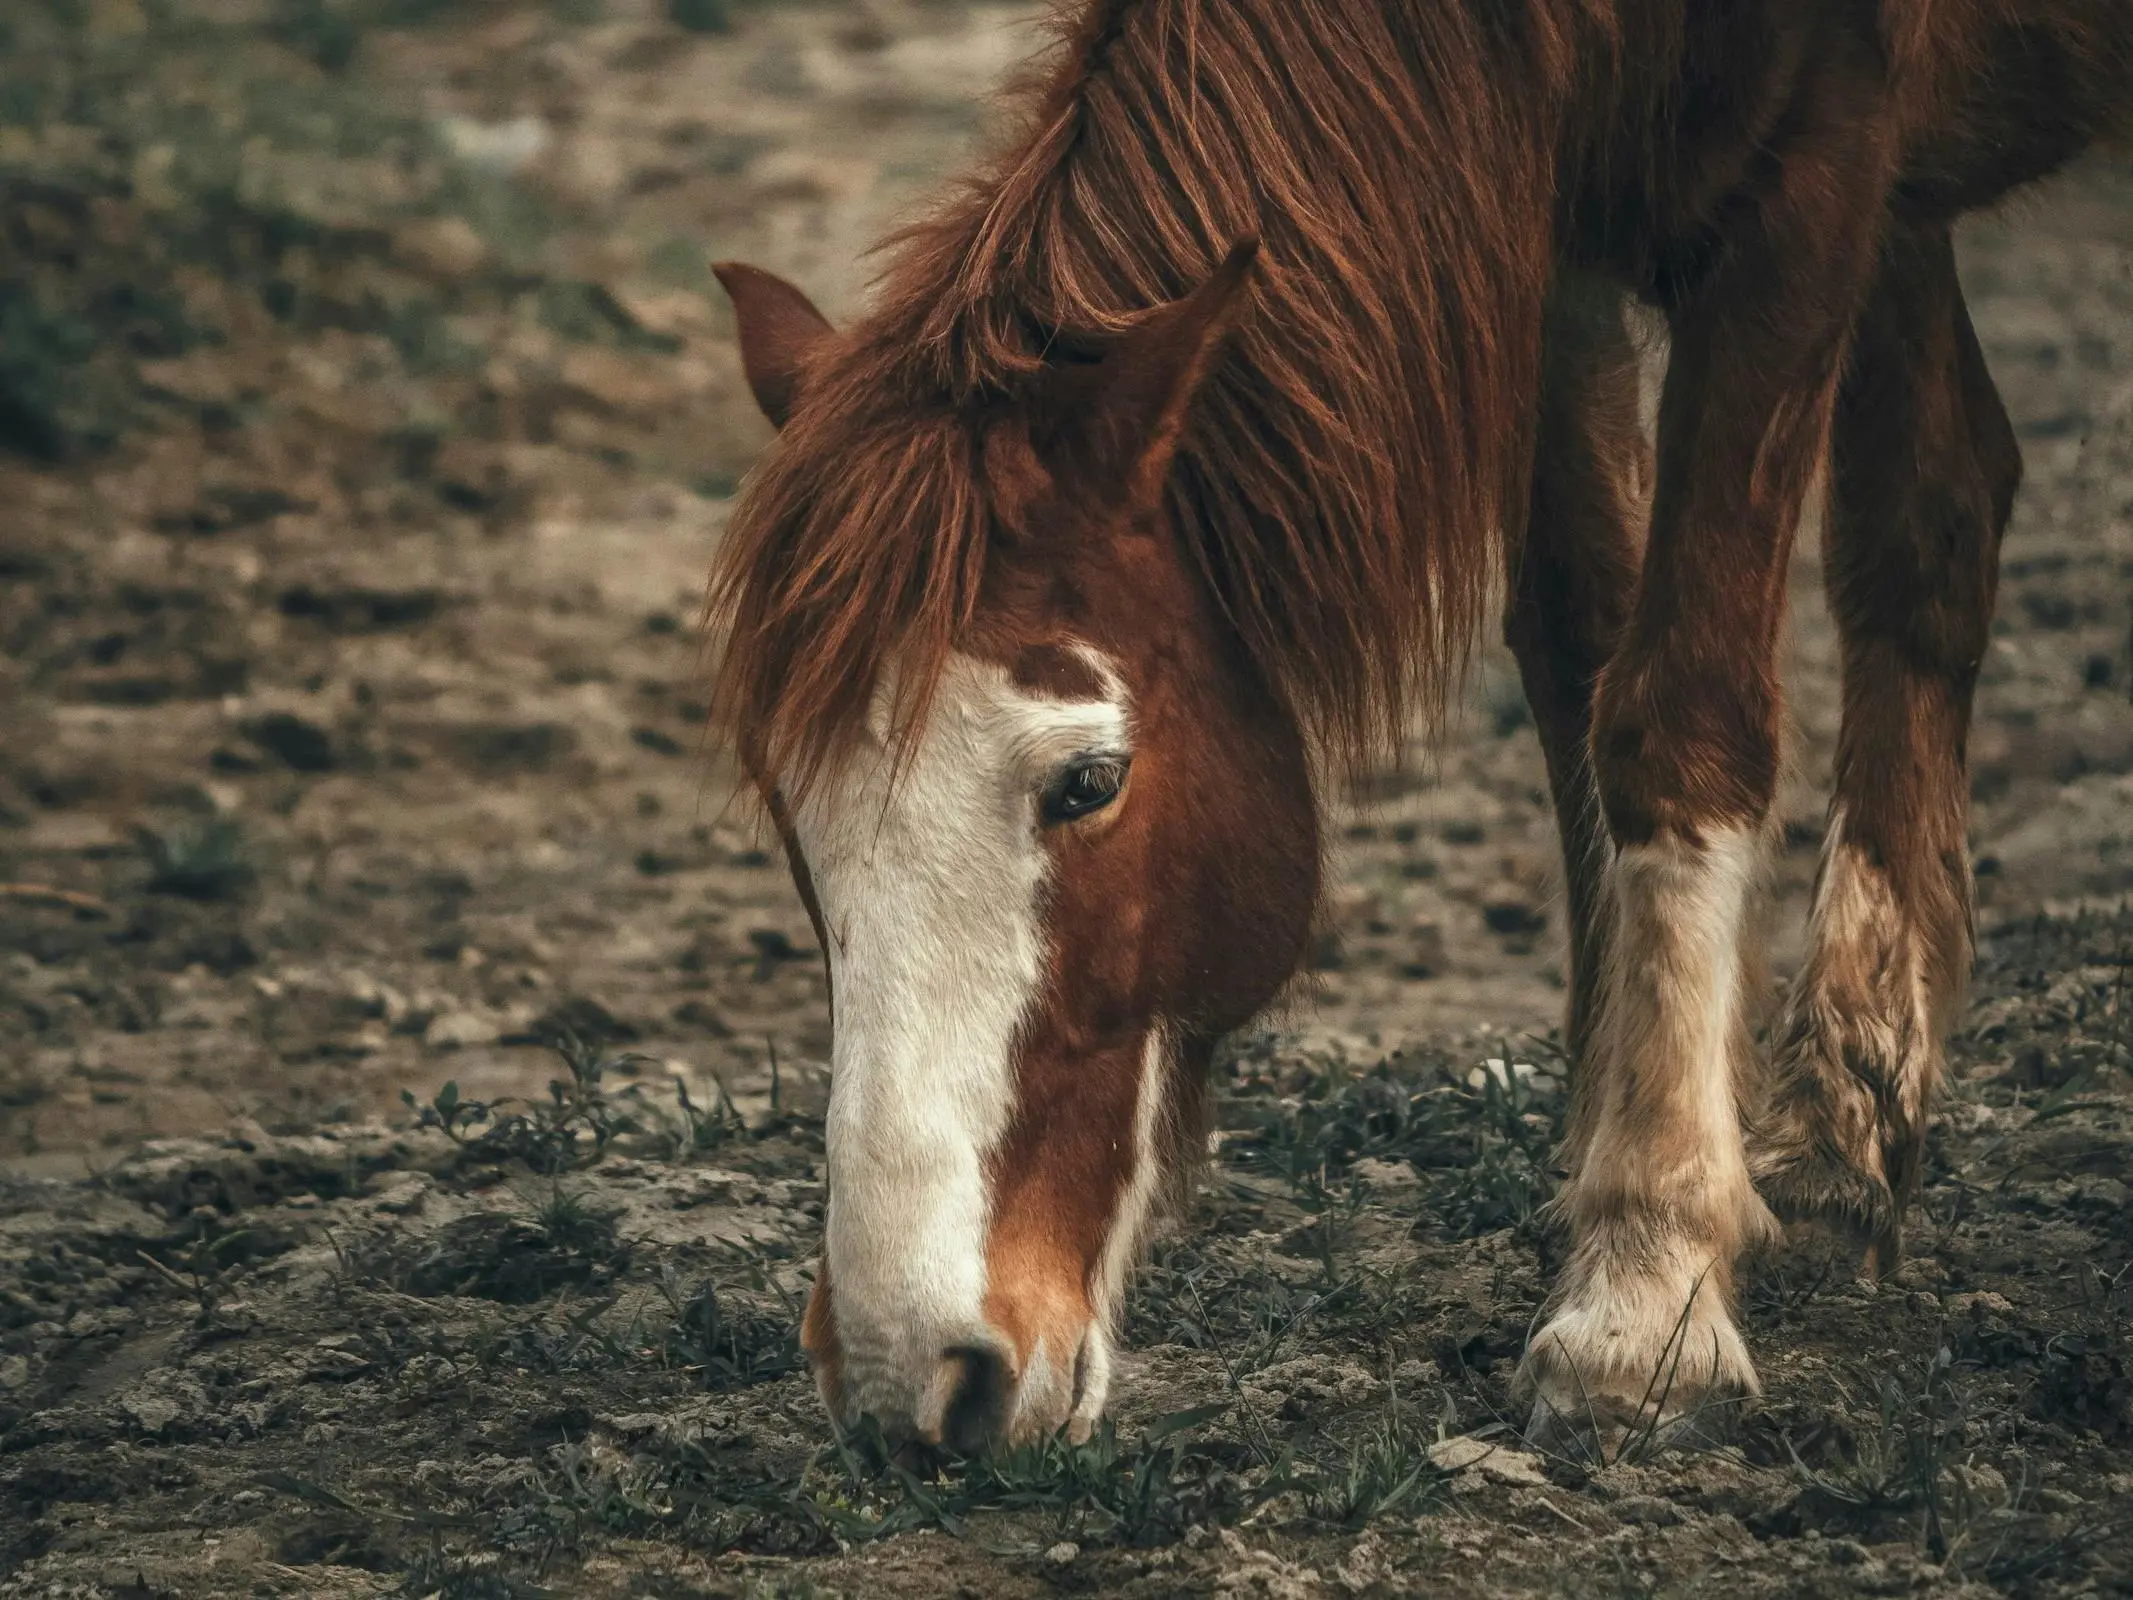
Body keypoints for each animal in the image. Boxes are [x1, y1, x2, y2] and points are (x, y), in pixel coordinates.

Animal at [699, 0, 2133, 1459]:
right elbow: (1581, 649)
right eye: (794, 819)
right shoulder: (1543, 214)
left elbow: (1679, 706)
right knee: (1934, 512)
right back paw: (1849, 1135)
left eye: (1086, 781)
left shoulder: (1811, 174)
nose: (913, 1378)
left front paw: (1645, 1285)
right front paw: (1611, 1160)